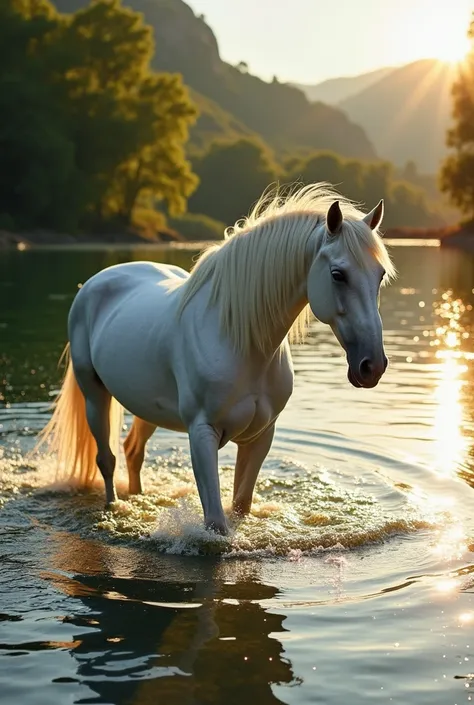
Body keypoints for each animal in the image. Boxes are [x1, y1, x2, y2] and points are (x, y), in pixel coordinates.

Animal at [40, 182, 394, 532]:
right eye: (337, 274)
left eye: (380, 275)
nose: (372, 366)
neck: (242, 343)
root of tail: (96, 282)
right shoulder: (202, 434)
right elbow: (216, 522)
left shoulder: (260, 437)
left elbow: (241, 506)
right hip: (94, 394)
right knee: (107, 459)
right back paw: (115, 507)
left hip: (146, 406)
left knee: (133, 452)